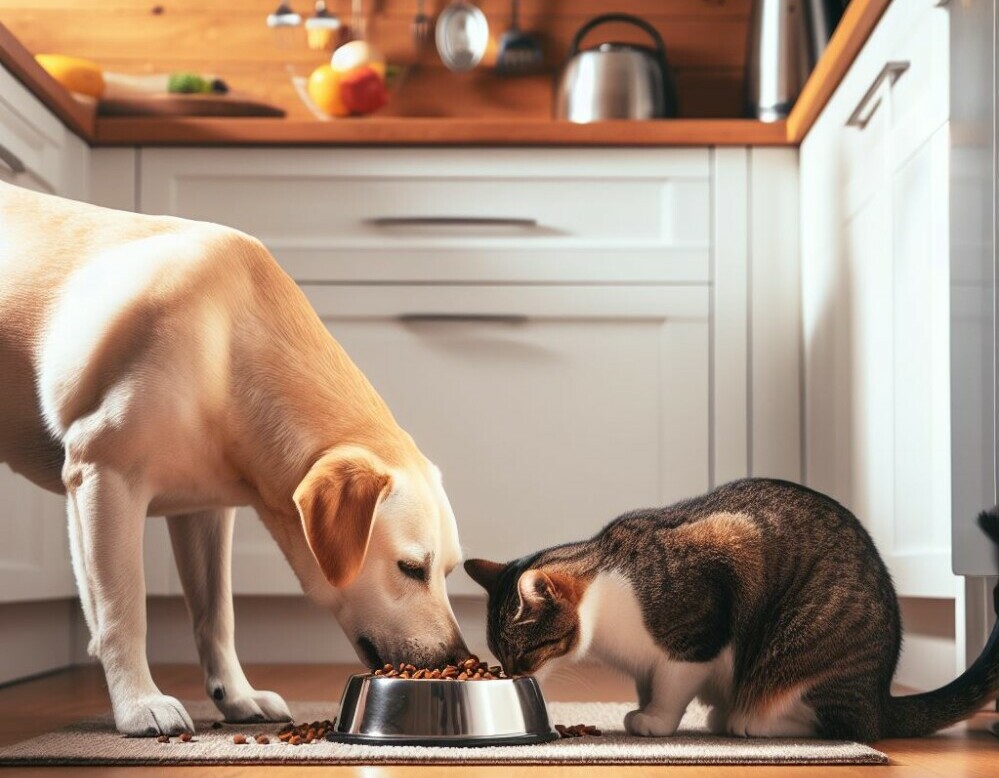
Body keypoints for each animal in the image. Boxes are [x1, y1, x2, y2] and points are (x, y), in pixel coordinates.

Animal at [0, 180, 468, 732]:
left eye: (449, 571)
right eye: (411, 568)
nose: (461, 659)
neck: (229, 349)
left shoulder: (206, 512)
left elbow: (216, 615)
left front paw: (236, 695)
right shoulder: (104, 476)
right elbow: (123, 611)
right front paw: (138, 703)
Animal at [466, 476, 999, 736]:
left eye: (522, 652)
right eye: (500, 654)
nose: (511, 673)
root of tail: (879, 697)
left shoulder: (705, 612)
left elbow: (672, 685)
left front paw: (655, 721)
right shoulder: (644, 661)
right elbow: (647, 681)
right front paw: (642, 708)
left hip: (801, 652)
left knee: (837, 722)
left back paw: (747, 719)